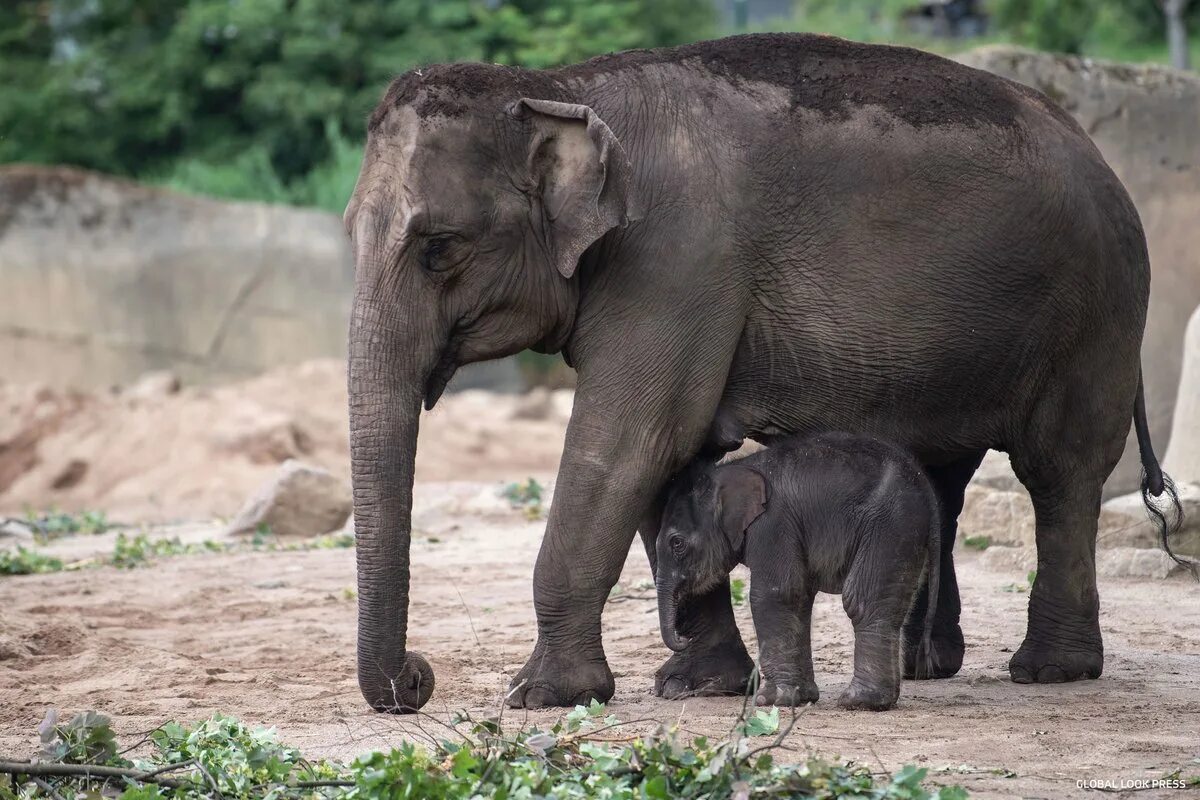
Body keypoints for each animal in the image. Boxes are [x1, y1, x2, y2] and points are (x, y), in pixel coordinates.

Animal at [657, 434, 936, 710]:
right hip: (903, 534)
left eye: (677, 543)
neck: (734, 468)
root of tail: (926, 489)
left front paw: (769, 701)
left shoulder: (772, 524)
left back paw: (858, 701)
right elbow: (799, 597)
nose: (682, 639)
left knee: (862, 601)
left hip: (888, 526)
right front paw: (801, 698)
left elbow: (775, 594)